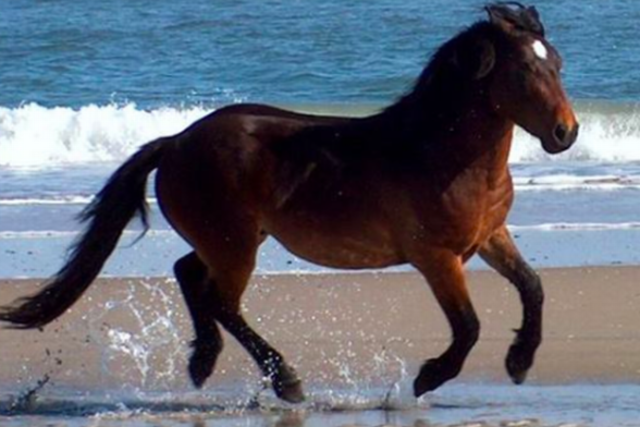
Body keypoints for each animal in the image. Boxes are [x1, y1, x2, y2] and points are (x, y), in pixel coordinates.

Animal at [0, 2, 578, 403]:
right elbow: (468, 326)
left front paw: (519, 361)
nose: (566, 132)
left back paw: (203, 363)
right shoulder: (435, 257)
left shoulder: (489, 237)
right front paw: (427, 378)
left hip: (229, 239)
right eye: (525, 71)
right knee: (220, 301)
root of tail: (177, 141)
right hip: (235, 244)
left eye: (558, 64)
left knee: (190, 274)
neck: (438, 152)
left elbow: (533, 286)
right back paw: (286, 382)